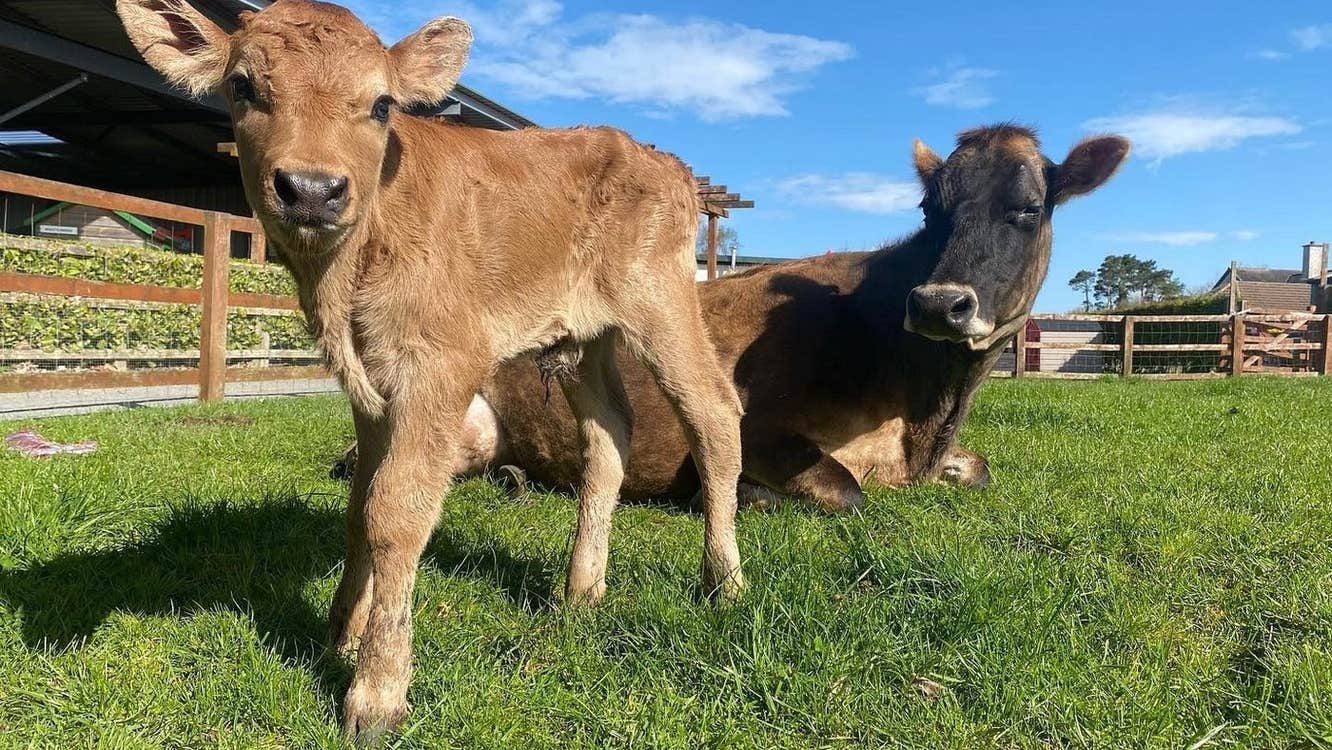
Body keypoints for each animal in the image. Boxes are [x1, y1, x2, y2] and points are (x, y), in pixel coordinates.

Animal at [116, 0, 748, 741]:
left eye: (382, 104)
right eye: (242, 87)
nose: (312, 189)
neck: (344, 282)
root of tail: (661, 158)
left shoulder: (441, 365)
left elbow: (397, 510)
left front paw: (376, 692)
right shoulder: (369, 389)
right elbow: (359, 508)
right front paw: (342, 632)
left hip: (661, 300)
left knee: (714, 413)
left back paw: (724, 582)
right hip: (586, 335)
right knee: (609, 433)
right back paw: (581, 590)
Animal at [336, 125, 1130, 512]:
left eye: (1028, 208)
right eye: (931, 208)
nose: (938, 303)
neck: (926, 412)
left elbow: (981, 471)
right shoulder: (765, 428)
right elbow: (846, 493)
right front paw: (742, 494)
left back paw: (517, 477)